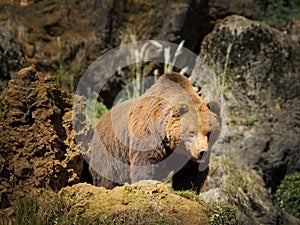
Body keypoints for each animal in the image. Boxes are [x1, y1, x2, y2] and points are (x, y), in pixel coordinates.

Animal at [89, 72, 220, 193]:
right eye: (192, 132)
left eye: (209, 132)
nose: (202, 152)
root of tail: (100, 121)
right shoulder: (149, 136)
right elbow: (145, 164)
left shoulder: (187, 156)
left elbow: (191, 173)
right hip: (110, 153)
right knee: (106, 177)